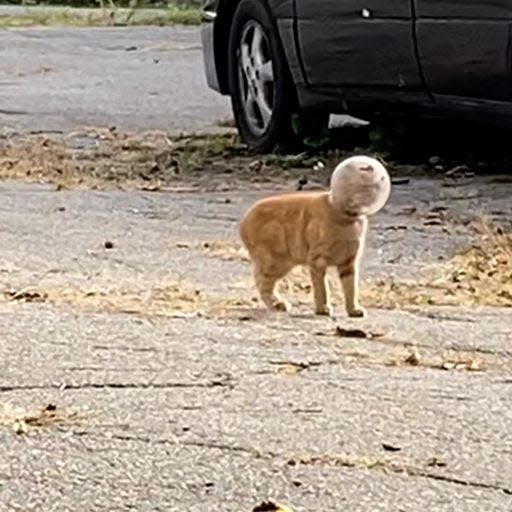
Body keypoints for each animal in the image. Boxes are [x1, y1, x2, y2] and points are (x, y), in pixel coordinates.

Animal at [238, 156, 390, 316]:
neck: (347, 219)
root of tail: (244, 221)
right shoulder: (317, 260)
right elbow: (322, 288)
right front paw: (322, 308)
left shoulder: (349, 263)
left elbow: (351, 288)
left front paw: (353, 309)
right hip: (276, 262)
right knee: (261, 281)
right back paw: (277, 304)